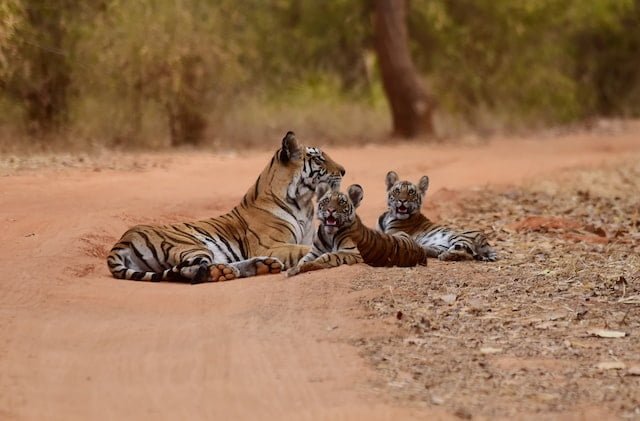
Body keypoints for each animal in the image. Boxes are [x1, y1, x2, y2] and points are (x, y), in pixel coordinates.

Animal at [107, 131, 345, 283]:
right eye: (319, 159)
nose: (343, 171)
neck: (304, 202)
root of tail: (122, 241)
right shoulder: (270, 245)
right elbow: (305, 250)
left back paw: (262, 266)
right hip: (191, 245)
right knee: (191, 271)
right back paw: (226, 272)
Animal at [287, 183, 428, 276]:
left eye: (341, 202)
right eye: (326, 200)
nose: (331, 210)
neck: (329, 234)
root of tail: (421, 251)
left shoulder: (352, 253)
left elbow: (328, 256)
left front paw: (299, 268)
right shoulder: (314, 251)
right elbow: (303, 259)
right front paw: (297, 267)